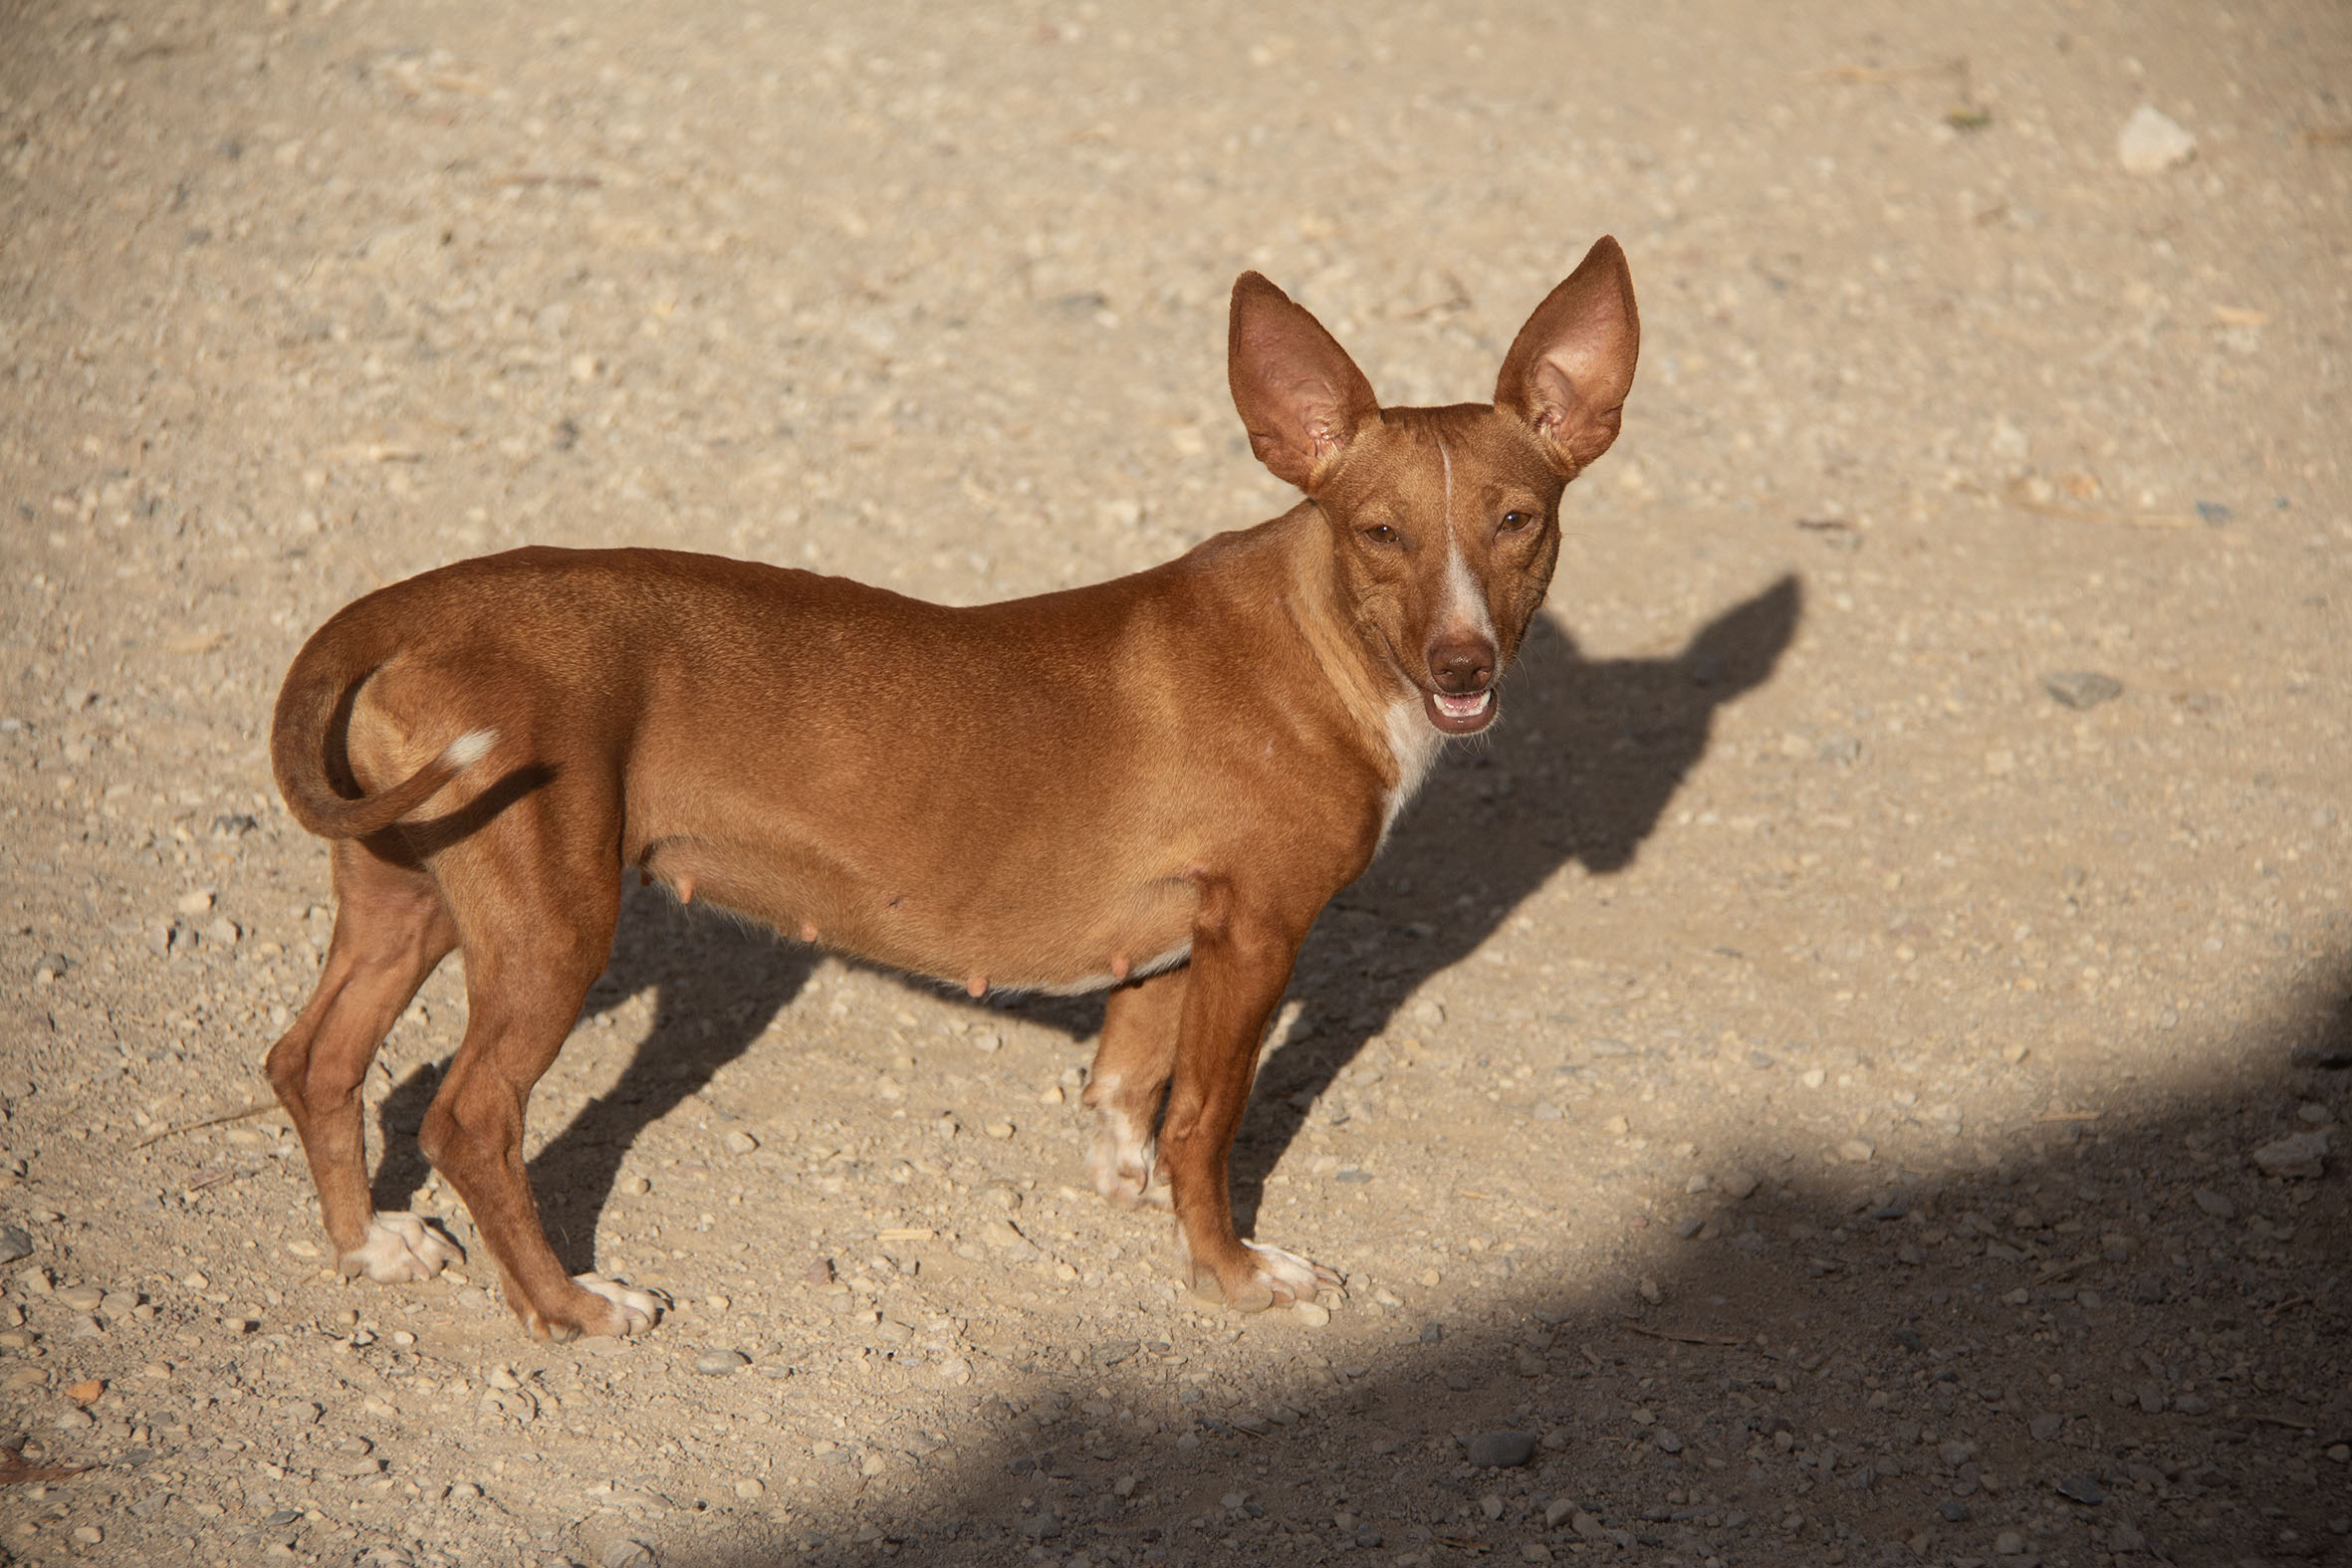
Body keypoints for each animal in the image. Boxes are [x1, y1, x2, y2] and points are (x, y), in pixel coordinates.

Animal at [263, 237, 1639, 1340]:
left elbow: (1126, 1094)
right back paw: (567, 1306)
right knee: (467, 1119)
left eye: (1517, 520)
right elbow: (1206, 1124)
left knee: (311, 1060)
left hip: (410, 892)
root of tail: (412, 602)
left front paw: (1132, 1198)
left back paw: (364, 1246)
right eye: (1378, 534)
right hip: (551, 921)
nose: (1464, 664)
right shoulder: (1257, 933)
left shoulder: (1174, 942)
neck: (1320, 640)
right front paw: (1231, 1272)